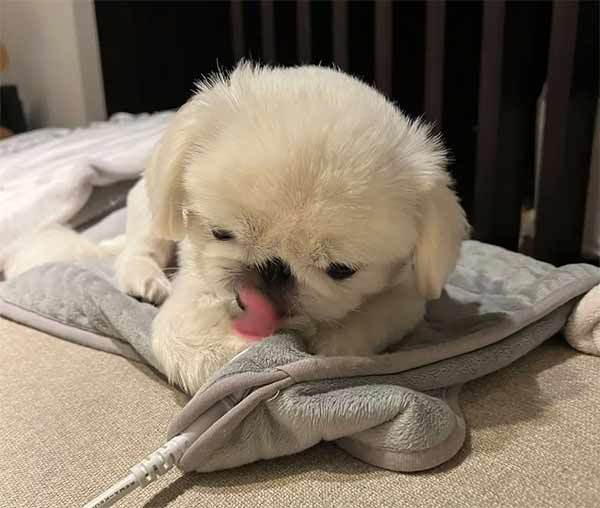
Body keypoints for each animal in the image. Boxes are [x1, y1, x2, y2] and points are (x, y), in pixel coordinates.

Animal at [112, 63, 468, 394]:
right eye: (221, 233)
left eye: (341, 270)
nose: (273, 268)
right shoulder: (197, 281)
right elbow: (179, 339)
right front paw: (238, 348)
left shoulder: (407, 295)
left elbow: (366, 324)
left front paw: (329, 345)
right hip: (150, 213)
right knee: (140, 248)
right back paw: (144, 280)